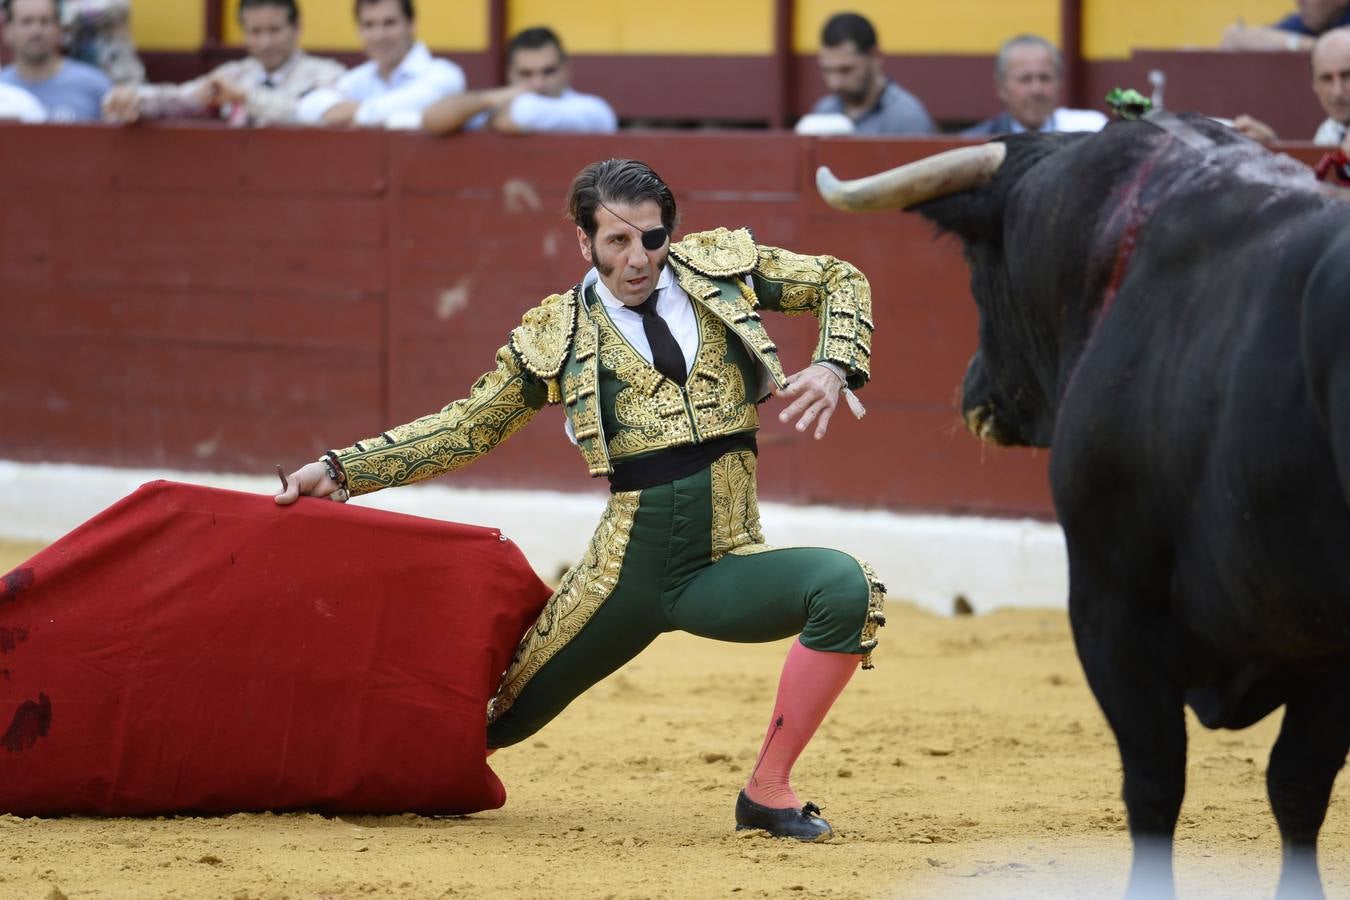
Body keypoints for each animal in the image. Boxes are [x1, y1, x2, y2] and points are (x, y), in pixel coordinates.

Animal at [815, 116, 1350, 895]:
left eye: (976, 271)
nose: (970, 387)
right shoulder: (1318, 645)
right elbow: (1292, 787)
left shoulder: (1108, 606)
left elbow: (1164, 783)